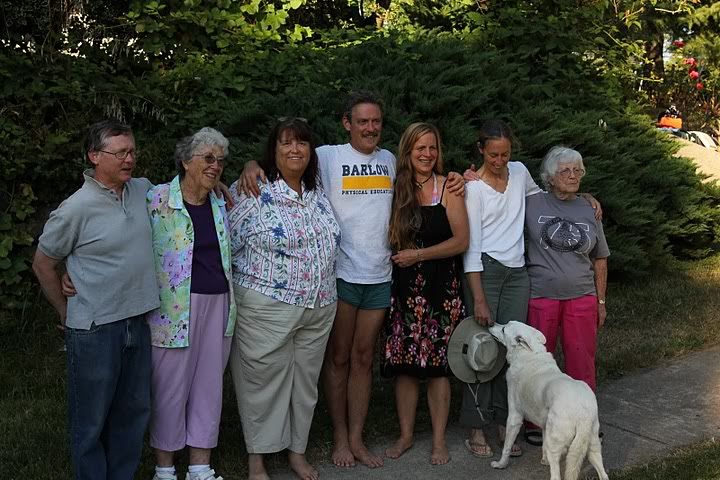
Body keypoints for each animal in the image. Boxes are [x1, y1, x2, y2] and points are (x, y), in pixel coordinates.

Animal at [488, 321, 608, 480]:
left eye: (503, 329)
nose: (491, 323)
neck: (529, 354)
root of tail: (582, 413)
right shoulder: (545, 424)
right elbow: (543, 442)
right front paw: (544, 461)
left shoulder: (514, 416)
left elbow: (507, 446)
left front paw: (501, 464)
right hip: (592, 443)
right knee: (603, 473)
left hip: (557, 441)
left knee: (556, 474)